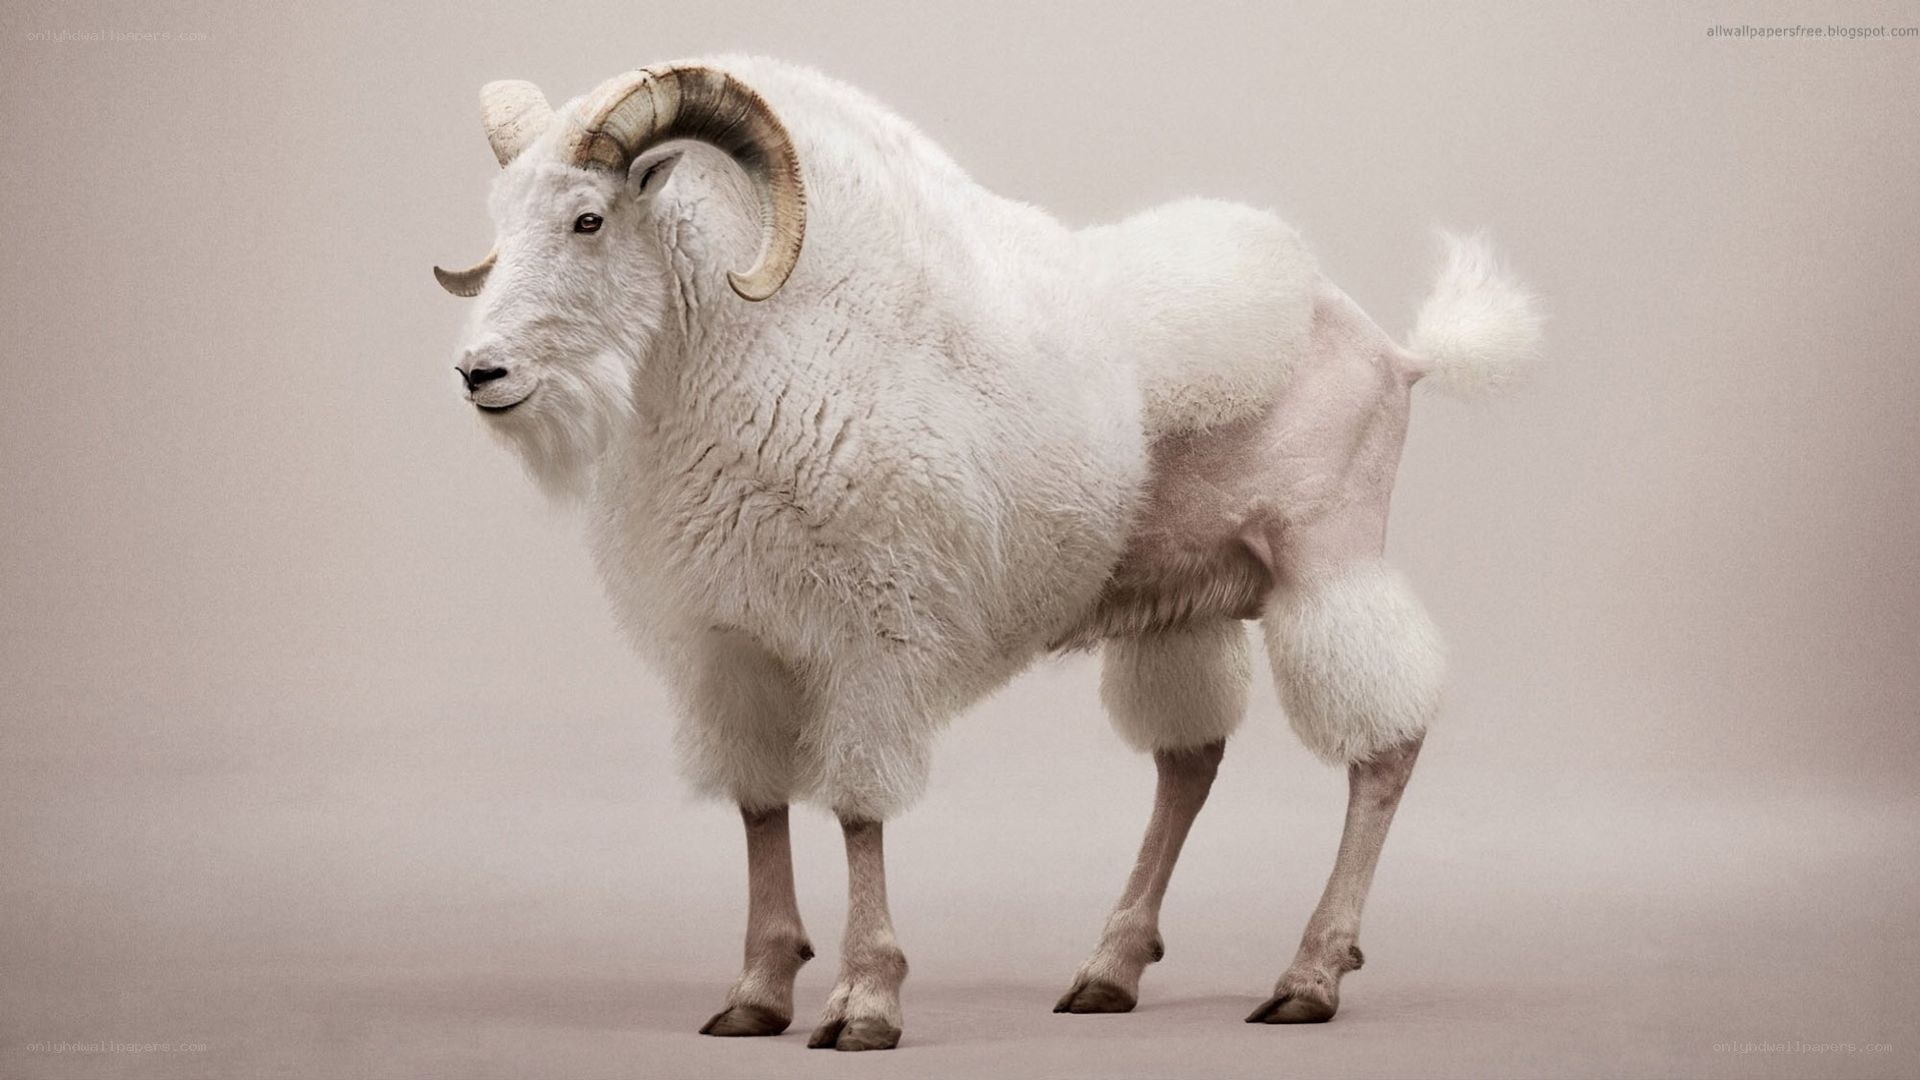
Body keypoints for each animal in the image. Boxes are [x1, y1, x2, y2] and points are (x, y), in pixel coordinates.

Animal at [431, 55, 1542, 1051]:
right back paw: (1109, 970)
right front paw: (756, 993)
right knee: (1189, 764)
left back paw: (1309, 976)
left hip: (1329, 559)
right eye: (502, 222)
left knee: (1385, 747)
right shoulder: (736, 653)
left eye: (589, 219)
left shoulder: (869, 644)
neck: (766, 349)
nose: (481, 373)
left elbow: (859, 810)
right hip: (1189, 603)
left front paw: (864, 1002)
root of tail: (1394, 350)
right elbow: (759, 810)